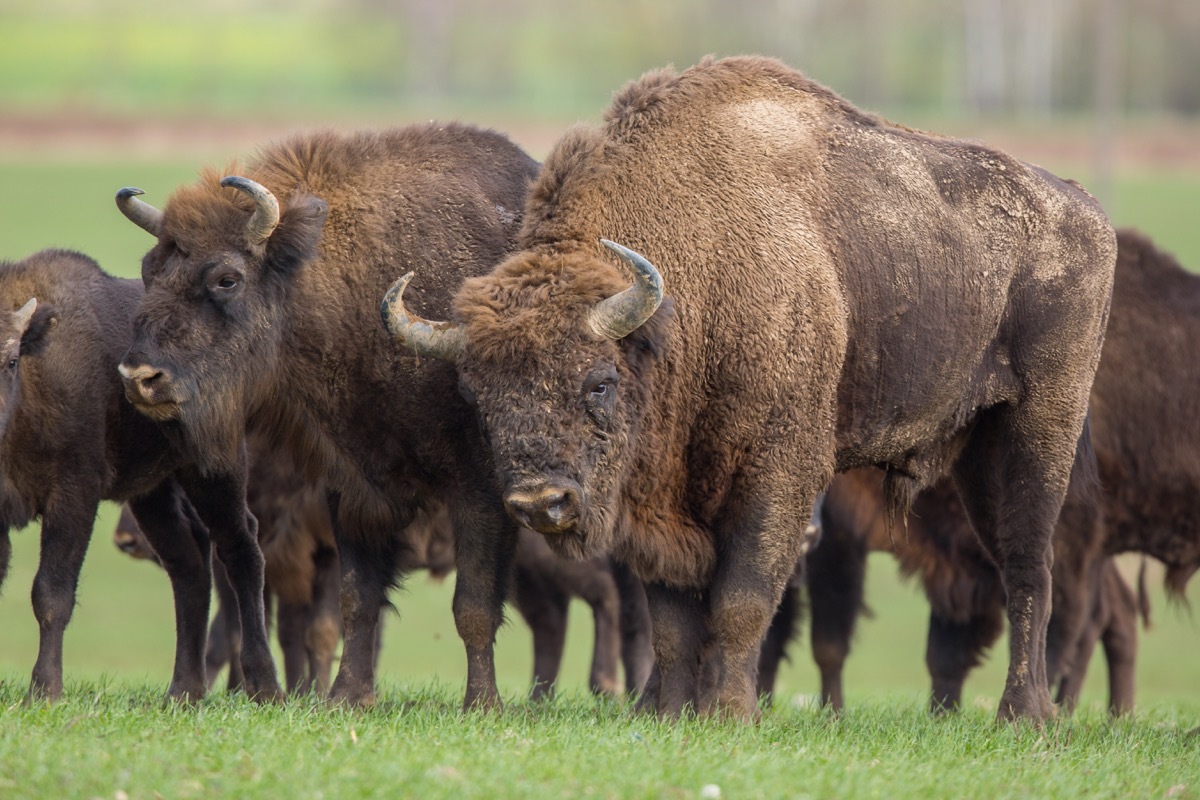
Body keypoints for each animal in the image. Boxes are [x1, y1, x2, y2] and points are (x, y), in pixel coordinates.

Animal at [0, 248, 278, 700]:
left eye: (10, 360)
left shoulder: (74, 496)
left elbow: (51, 594)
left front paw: (45, 690)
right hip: (153, 494)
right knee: (188, 567)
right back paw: (183, 692)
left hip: (214, 473)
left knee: (241, 551)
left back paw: (265, 686)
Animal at [115, 123, 540, 705]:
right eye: (148, 269)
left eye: (227, 278)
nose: (140, 378)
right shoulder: (353, 486)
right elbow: (357, 599)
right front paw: (345, 697)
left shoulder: (479, 489)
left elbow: (472, 605)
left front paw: (483, 705)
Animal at [391, 56, 1113, 719]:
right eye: (477, 397)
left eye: (598, 382)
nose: (542, 502)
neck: (694, 284)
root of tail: (1088, 210)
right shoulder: (658, 501)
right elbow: (673, 619)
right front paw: (669, 712)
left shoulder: (779, 473)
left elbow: (742, 600)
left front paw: (732, 714)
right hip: (976, 451)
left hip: (1039, 427)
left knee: (1029, 567)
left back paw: (1025, 715)